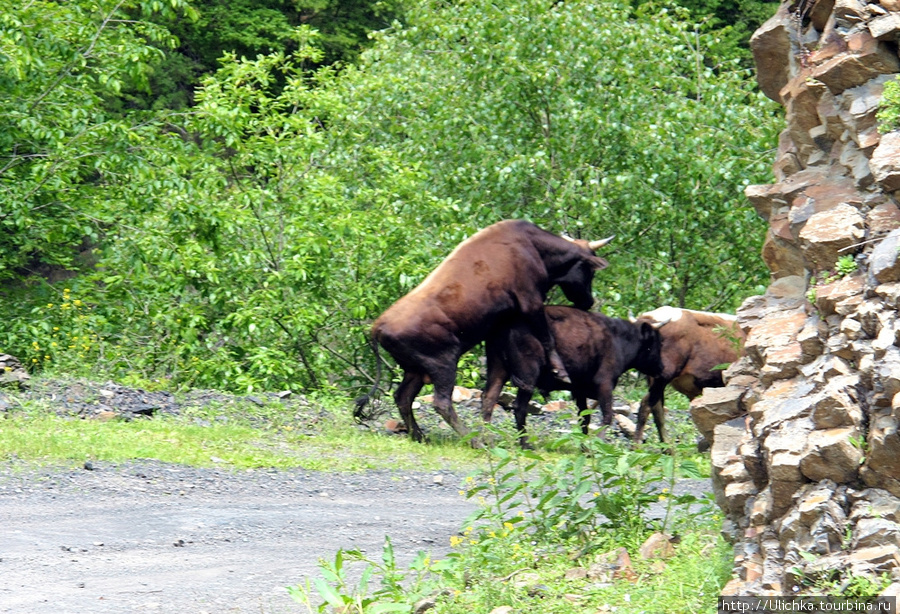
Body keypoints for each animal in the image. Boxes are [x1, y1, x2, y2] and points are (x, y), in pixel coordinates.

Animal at [356, 220, 616, 442]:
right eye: (589, 270)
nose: (588, 301)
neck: (535, 248)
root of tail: (377, 328)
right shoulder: (530, 300)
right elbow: (547, 338)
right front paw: (559, 370)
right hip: (443, 362)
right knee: (441, 402)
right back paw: (472, 440)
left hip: (416, 369)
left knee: (403, 397)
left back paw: (421, 436)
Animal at [482, 306, 664, 448]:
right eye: (657, 341)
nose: (662, 368)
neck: (619, 339)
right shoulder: (604, 382)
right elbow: (607, 415)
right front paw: (597, 445)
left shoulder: (579, 388)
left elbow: (585, 417)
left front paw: (585, 447)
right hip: (528, 375)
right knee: (519, 407)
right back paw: (525, 444)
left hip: (498, 368)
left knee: (488, 399)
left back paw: (484, 441)